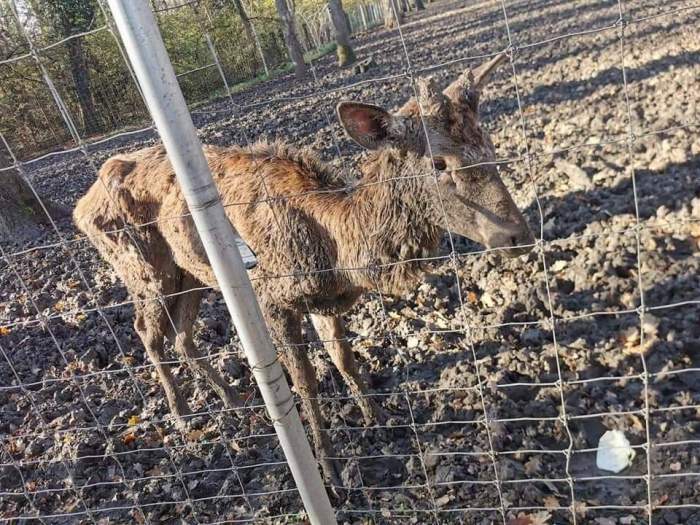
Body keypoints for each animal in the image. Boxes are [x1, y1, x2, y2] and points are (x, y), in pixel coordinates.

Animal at [72, 53, 532, 484]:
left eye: (489, 144)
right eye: (438, 163)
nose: (517, 235)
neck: (338, 250)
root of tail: (81, 207)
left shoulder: (324, 301)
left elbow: (344, 358)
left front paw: (378, 419)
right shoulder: (274, 298)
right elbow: (304, 381)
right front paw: (330, 470)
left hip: (191, 275)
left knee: (182, 336)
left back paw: (234, 402)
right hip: (144, 269)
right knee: (146, 333)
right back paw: (183, 414)